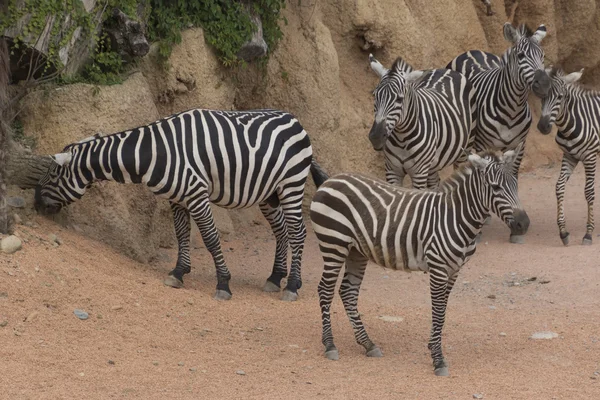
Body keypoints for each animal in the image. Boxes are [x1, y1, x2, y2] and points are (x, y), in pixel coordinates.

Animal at [34, 108, 314, 302]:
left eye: (54, 173)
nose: (36, 203)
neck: (155, 152)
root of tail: (294, 119)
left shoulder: (197, 194)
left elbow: (211, 238)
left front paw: (223, 283)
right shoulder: (177, 198)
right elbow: (181, 235)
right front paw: (178, 273)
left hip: (291, 184)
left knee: (298, 232)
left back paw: (292, 285)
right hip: (270, 194)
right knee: (281, 231)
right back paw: (275, 277)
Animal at [310, 148, 528, 376]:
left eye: (515, 184)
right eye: (495, 187)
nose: (523, 224)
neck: (456, 216)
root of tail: (331, 179)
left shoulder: (454, 270)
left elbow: (443, 311)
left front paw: (433, 345)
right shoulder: (438, 267)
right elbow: (438, 312)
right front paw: (438, 360)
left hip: (356, 251)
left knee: (348, 292)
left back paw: (368, 343)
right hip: (333, 244)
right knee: (325, 290)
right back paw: (330, 345)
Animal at [368, 55, 476, 191]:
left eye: (399, 99)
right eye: (374, 95)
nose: (376, 137)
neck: (401, 138)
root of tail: (448, 70)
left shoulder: (419, 174)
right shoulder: (392, 171)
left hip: (464, 149)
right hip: (433, 164)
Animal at [536, 67, 596, 245]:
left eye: (560, 97)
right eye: (542, 97)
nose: (542, 127)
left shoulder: (590, 157)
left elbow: (589, 192)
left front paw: (588, 233)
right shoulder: (569, 156)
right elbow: (559, 187)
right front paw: (563, 232)